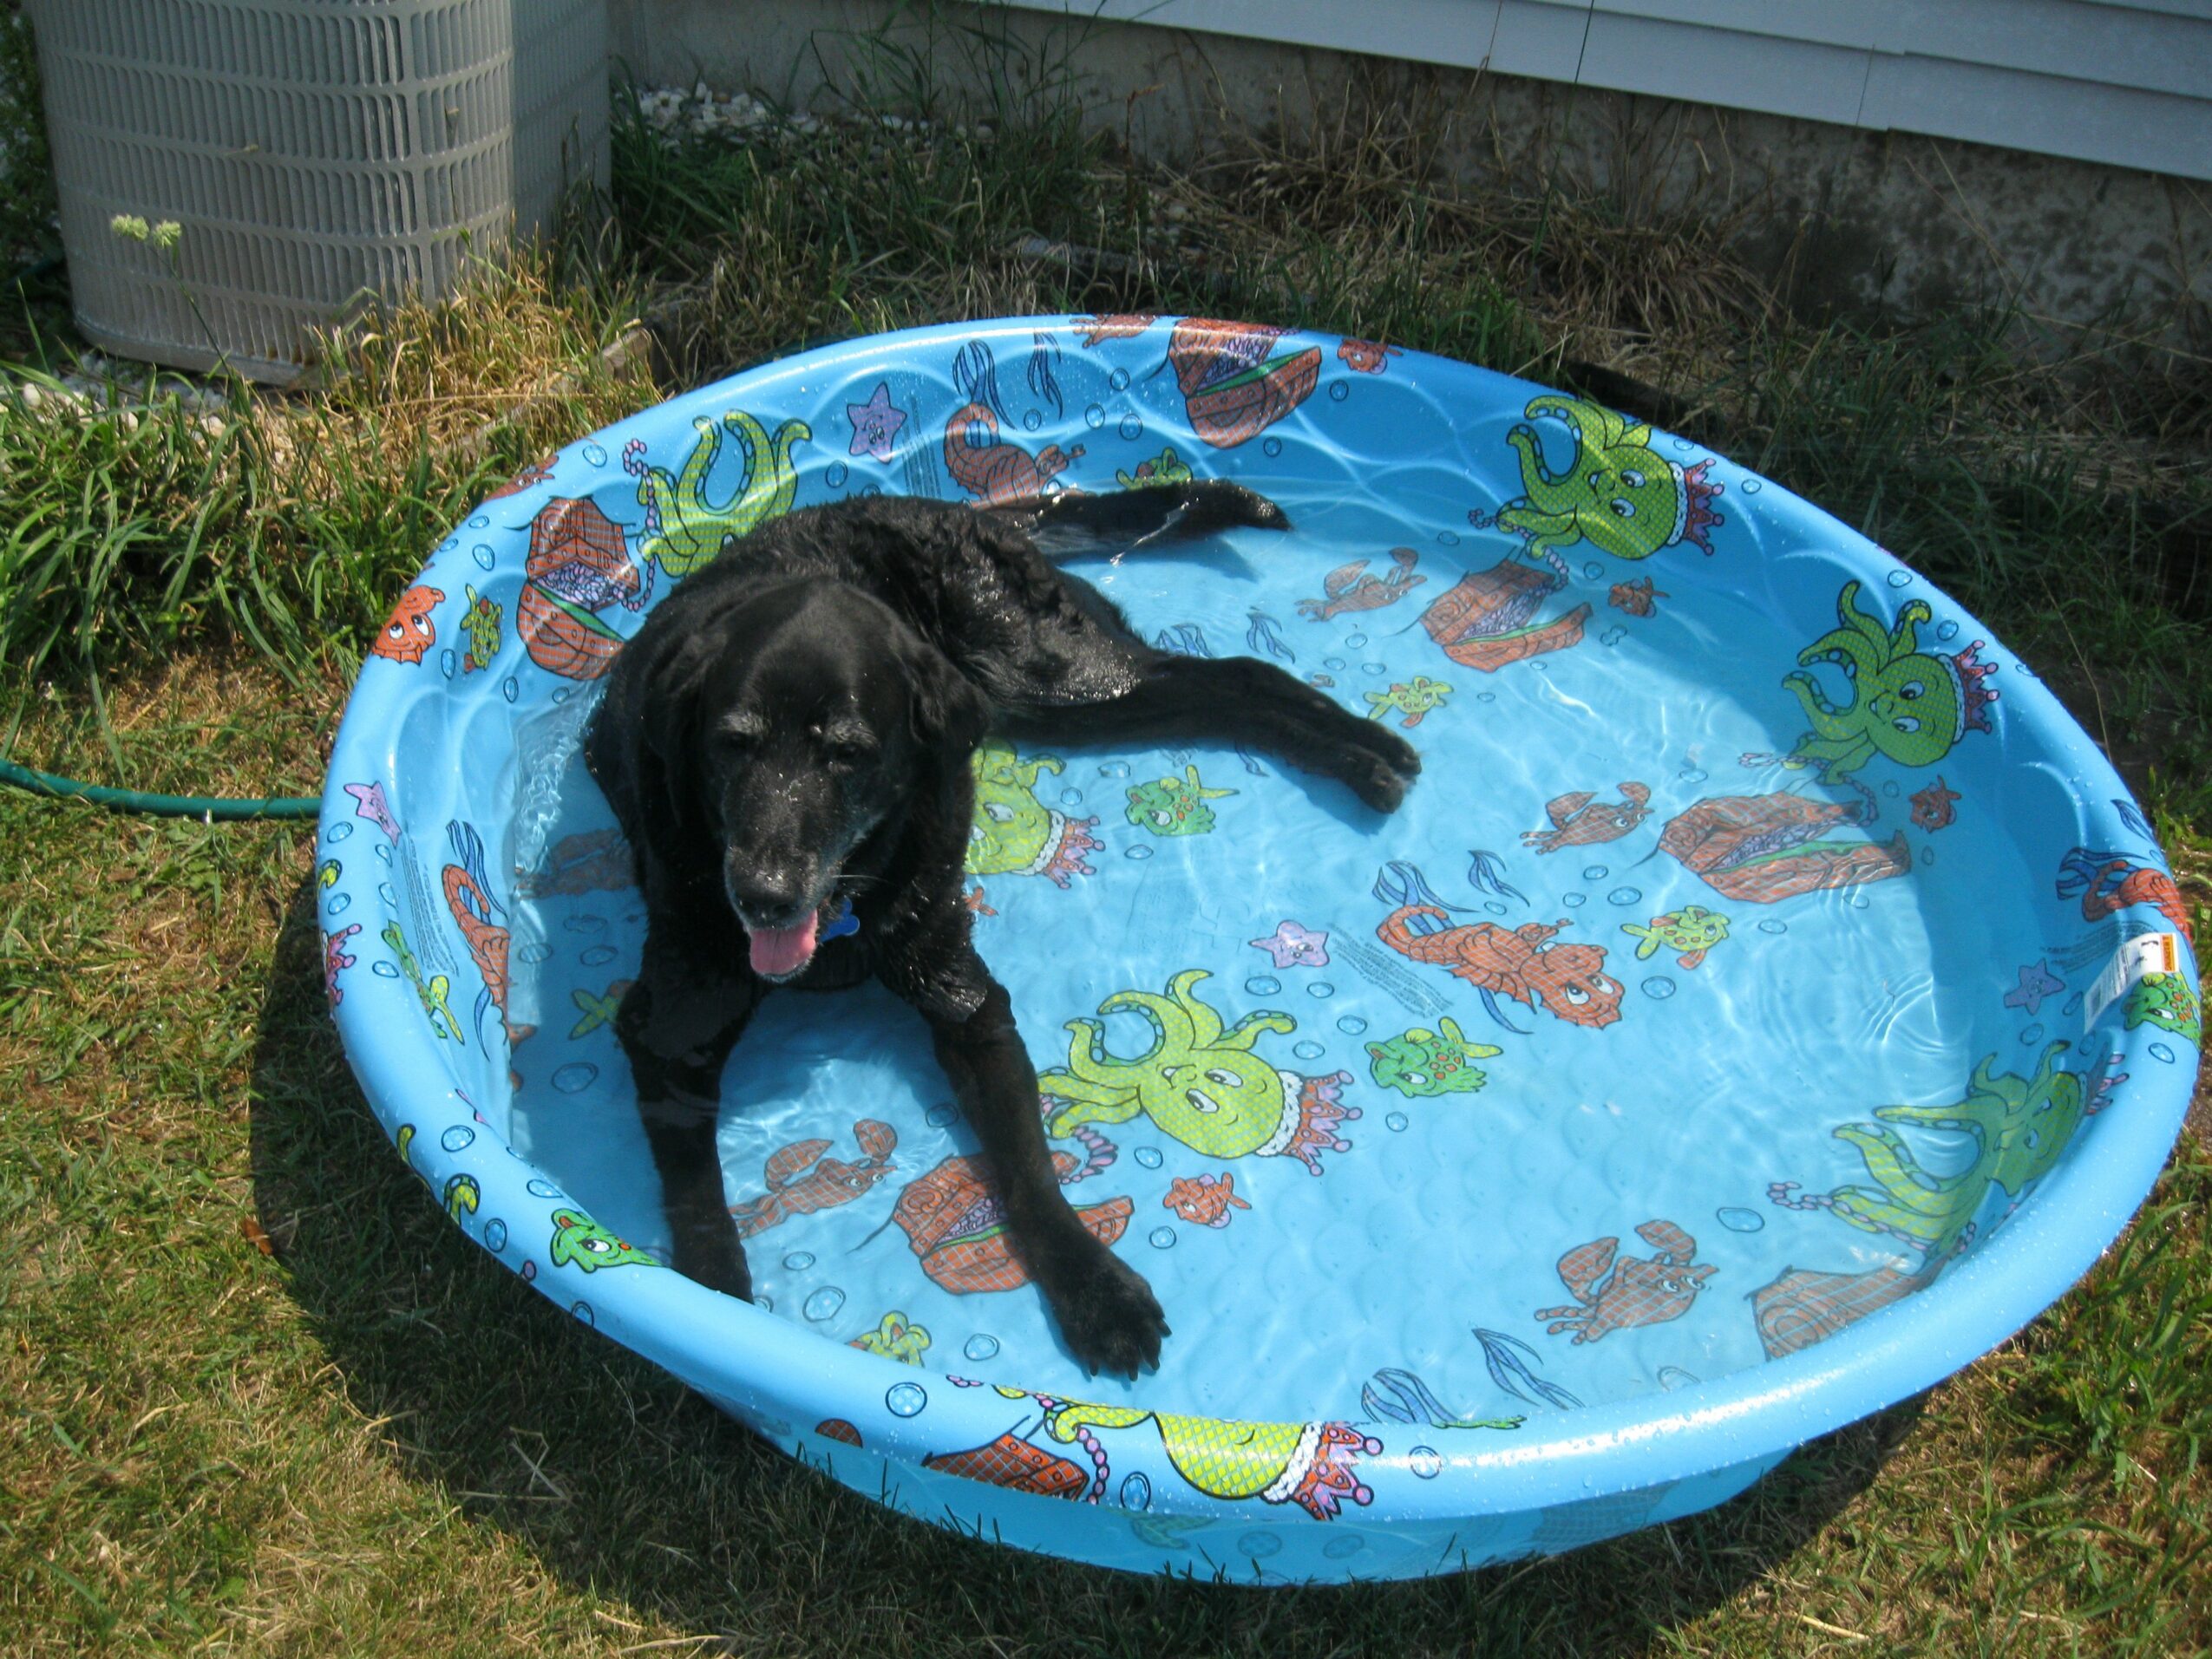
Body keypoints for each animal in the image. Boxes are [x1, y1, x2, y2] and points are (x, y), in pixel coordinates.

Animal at [583, 481, 1420, 1377]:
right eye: (731, 744)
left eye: (847, 753)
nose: (763, 896)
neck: (844, 907)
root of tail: (947, 505)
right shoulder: (670, 1029)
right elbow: (696, 1193)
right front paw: (716, 1301)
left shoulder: (967, 1002)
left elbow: (1027, 1167)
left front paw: (1095, 1288)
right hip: (1057, 701)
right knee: (1220, 689)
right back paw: (1364, 759)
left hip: (1052, 674)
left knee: (1232, 673)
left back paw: (1370, 752)